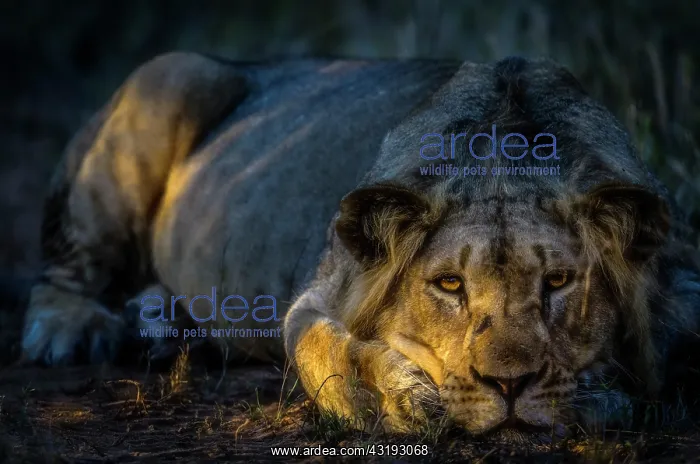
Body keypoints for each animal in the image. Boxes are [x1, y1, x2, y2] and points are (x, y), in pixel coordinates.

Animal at [20, 52, 700, 439]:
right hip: (167, 78)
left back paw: (165, 327)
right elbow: (328, 353)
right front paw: (401, 398)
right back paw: (74, 332)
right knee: (61, 274)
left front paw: (604, 395)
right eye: (449, 285)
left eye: (558, 282)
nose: (509, 387)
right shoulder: (316, 298)